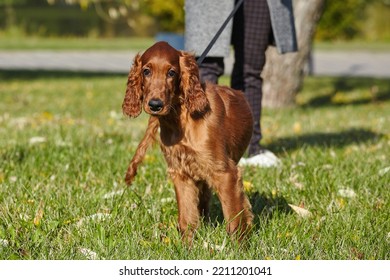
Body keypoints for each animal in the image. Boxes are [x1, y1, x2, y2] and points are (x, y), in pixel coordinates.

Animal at [123, 41, 254, 243]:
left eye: (171, 72)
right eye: (146, 71)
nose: (155, 105)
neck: (181, 117)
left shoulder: (225, 173)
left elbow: (234, 218)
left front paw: (240, 248)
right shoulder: (181, 173)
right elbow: (187, 218)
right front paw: (186, 247)